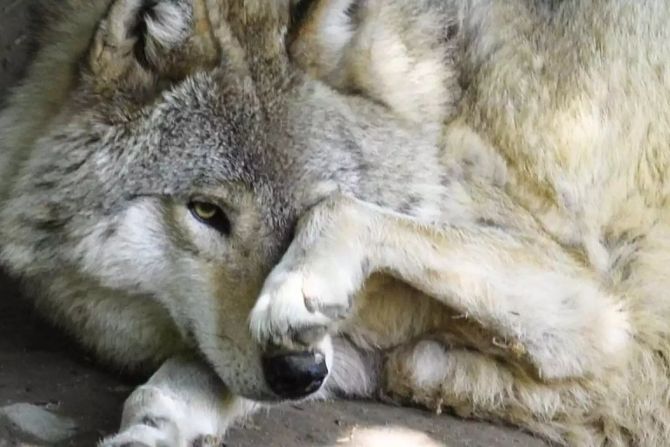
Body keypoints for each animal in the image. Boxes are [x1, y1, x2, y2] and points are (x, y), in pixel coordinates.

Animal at [1, 0, 669, 445]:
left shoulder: (594, 306)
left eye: (299, 216)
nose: (299, 372)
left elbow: (347, 212)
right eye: (208, 212)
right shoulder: (319, 352)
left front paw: (303, 288)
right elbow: (173, 387)